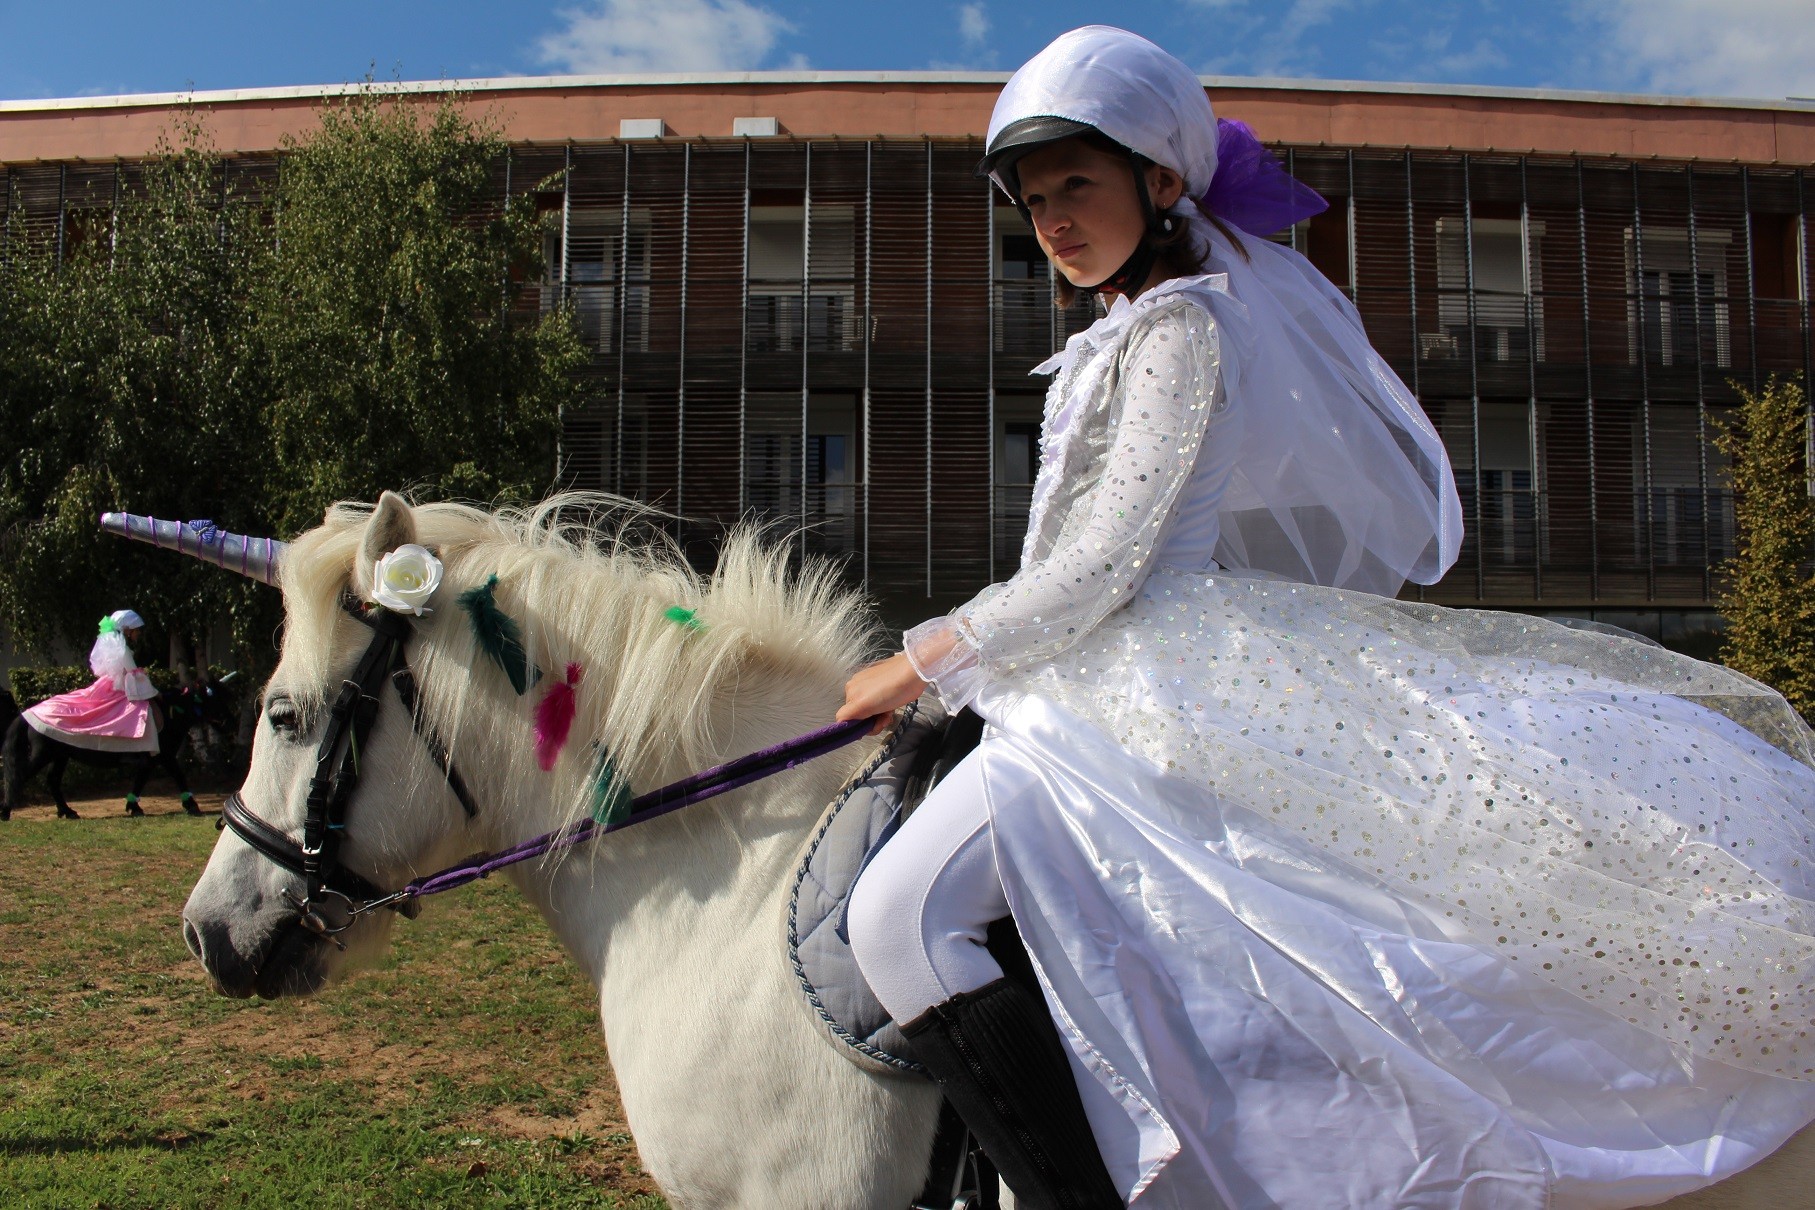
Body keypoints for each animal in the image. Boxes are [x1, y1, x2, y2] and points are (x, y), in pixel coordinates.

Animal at [0, 682, 237, 823]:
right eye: (215, 701)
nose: (231, 723)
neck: (170, 713)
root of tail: (28, 714)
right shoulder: (162, 757)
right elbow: (177, 777)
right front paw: (191, 805)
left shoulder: (156, 759)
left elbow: (144, 781)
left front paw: (134, 806)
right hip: (44, 755)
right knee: (20, 776)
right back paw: (5, 810)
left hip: (60, 756)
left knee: (52, 781)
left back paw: (67, 811)